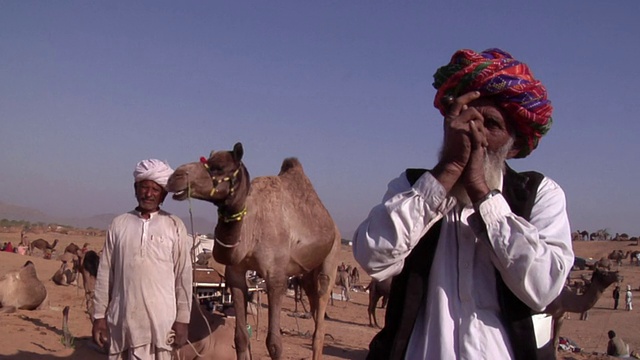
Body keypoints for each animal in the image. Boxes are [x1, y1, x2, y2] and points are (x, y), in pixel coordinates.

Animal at [168, 143, 342, 360]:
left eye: (219, 167)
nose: (175, 176)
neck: (252, 228)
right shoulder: (235, 274)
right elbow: (241, 337)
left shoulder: (276, 278)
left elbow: (274, 343)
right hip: (306, 275)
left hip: (332, 257)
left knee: (321, 315)